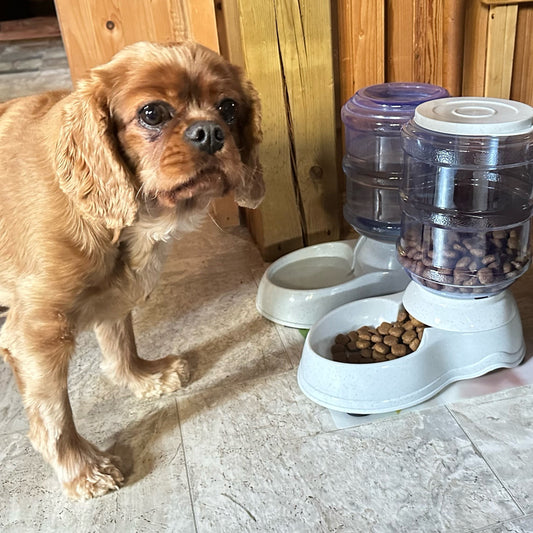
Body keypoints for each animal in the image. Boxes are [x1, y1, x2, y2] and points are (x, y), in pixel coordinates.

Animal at [0, 40, 264, 498]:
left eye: (229, 108)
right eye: (152, 113)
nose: (210, 132)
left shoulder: (117, 290)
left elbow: (120, 343)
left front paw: (144, 378)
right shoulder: (36, 333)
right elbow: (54, 416)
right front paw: (82, 469)